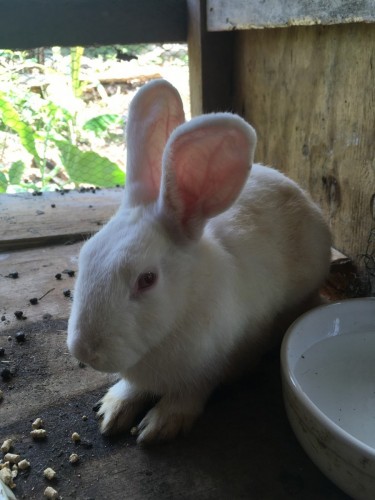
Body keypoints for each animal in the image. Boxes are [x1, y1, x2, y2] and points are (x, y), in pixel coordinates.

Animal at [67, 78, 332, 446]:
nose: (84, 351)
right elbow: (132, 388)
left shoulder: (212, 366)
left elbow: (189, 394)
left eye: (147, 279)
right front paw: (113, 410)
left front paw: (160, 425)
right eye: (86, 256)